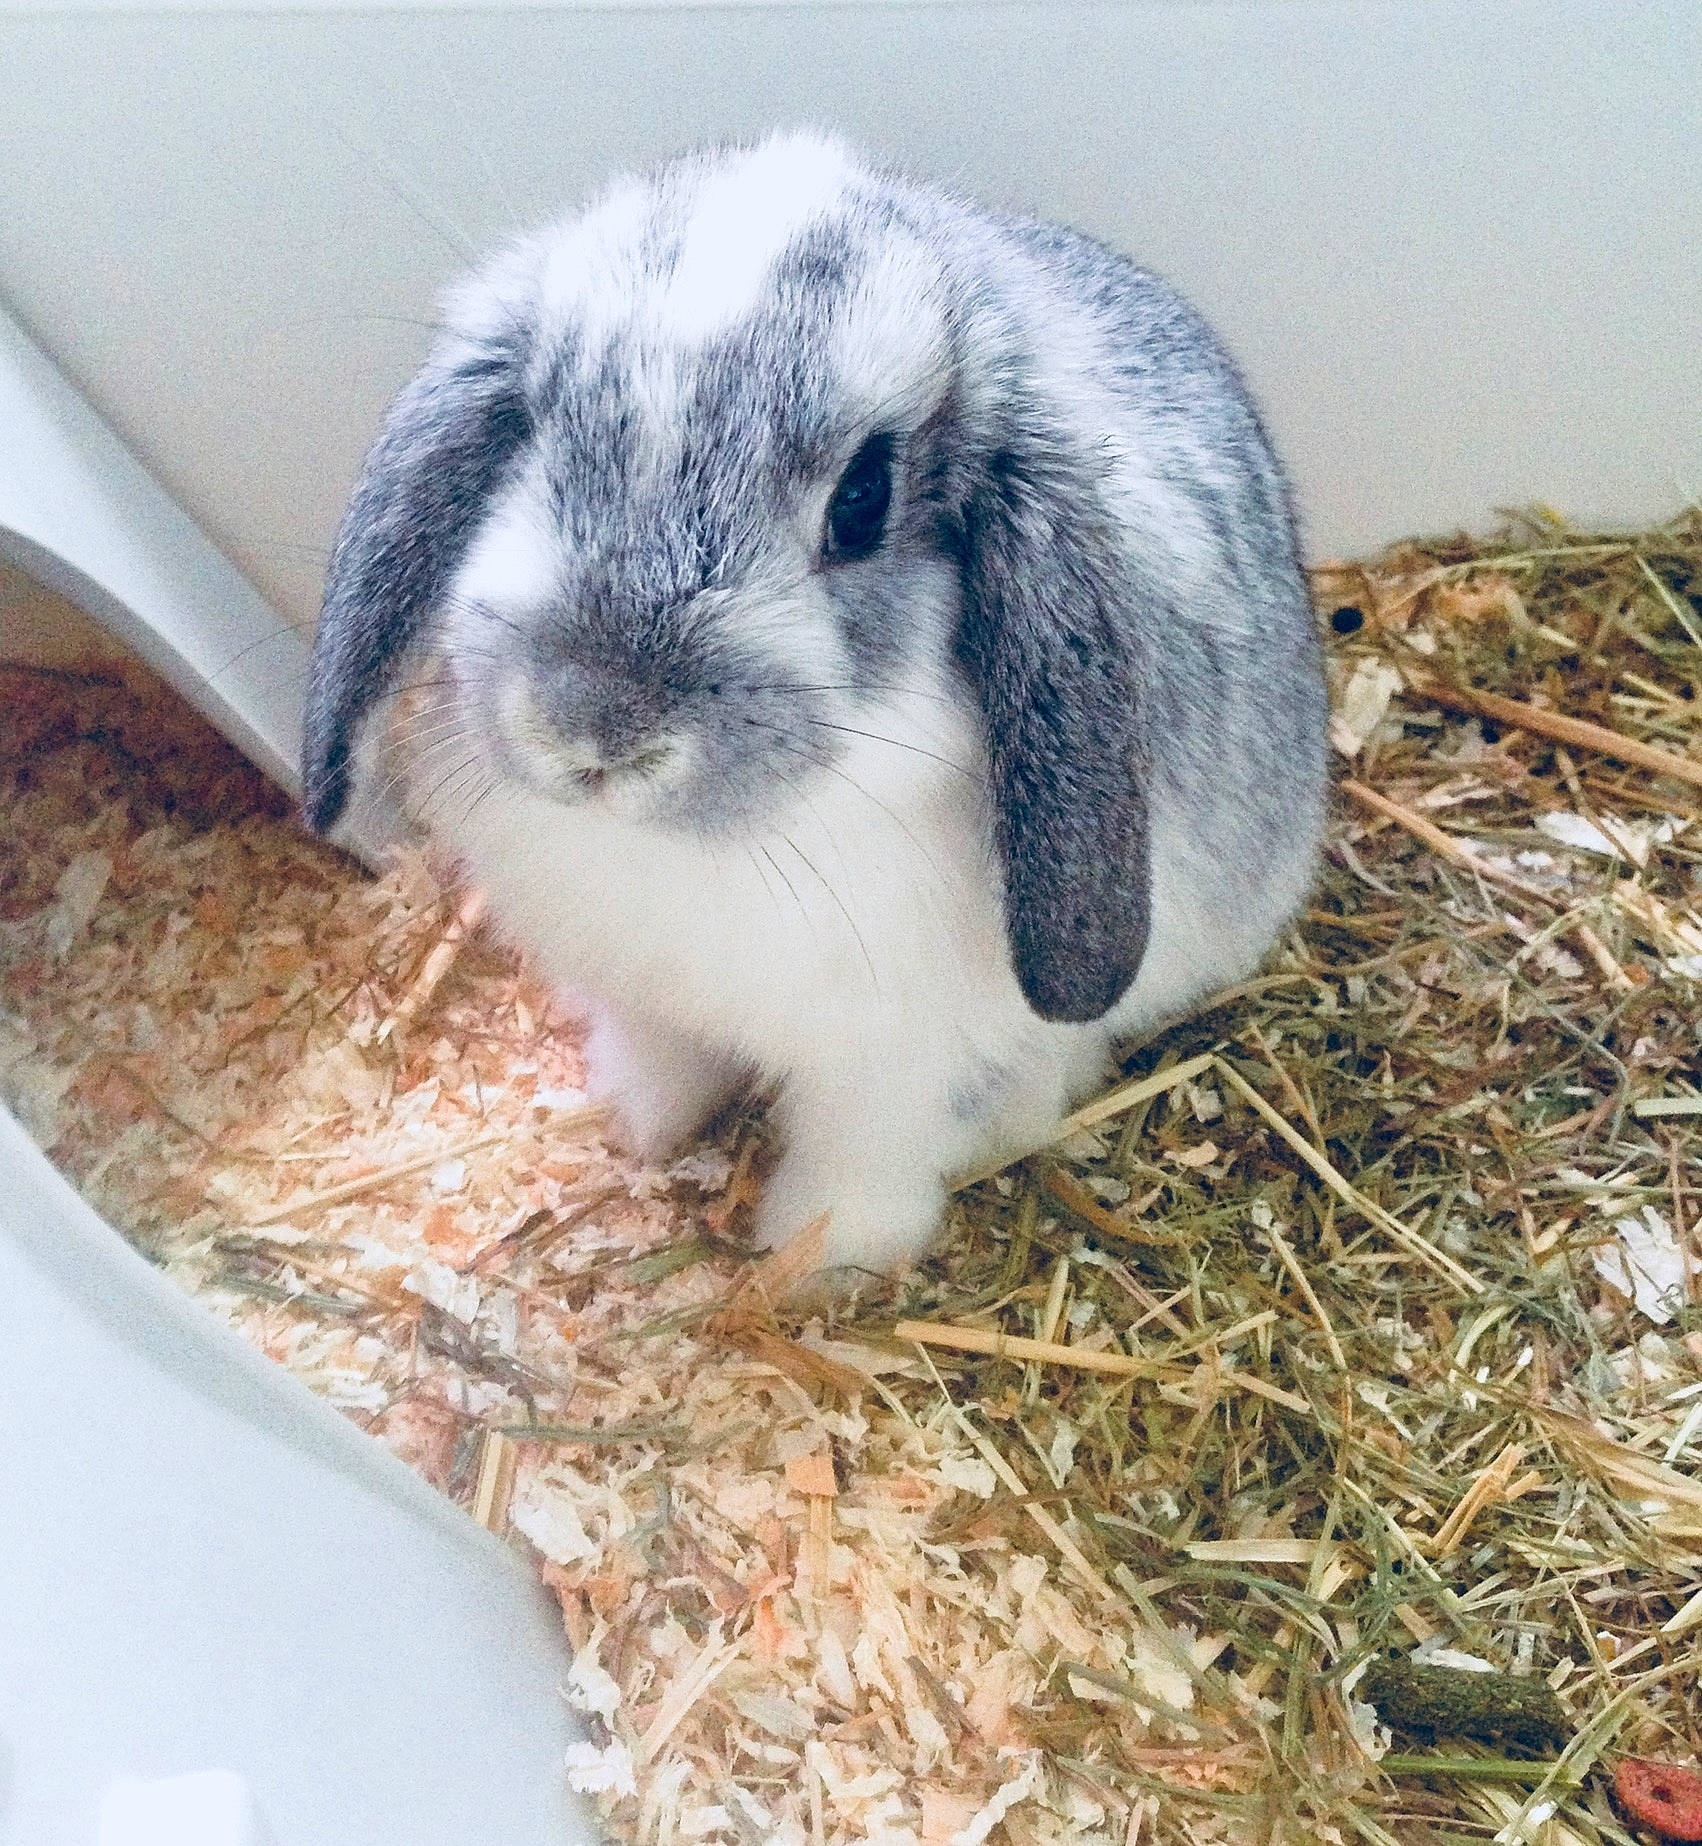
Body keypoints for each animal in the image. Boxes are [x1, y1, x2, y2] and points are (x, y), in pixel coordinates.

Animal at [302, 131, 1327, 1277]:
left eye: (863, 499)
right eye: (534, 426)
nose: (593, 730)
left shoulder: (885, 1067)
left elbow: (858, 1164)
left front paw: (812, 1270)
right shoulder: (641, 992)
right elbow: (664, 1063)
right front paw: (637, 1129)